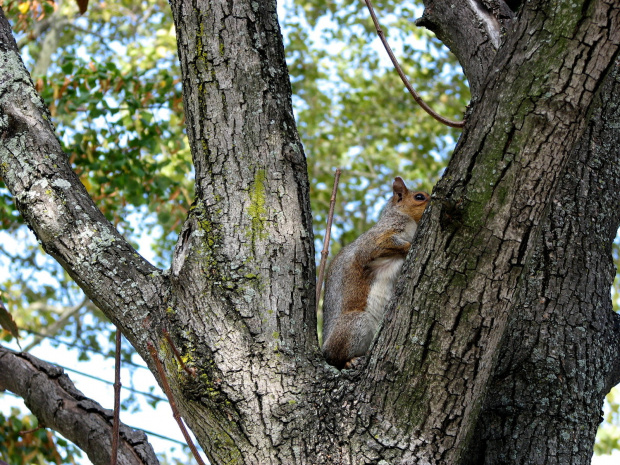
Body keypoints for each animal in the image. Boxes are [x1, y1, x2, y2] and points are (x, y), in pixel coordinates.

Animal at [322, 176, 428, 368]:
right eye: (419, 197)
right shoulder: (380, 236)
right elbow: (375, 248)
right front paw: (409, 245)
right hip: (354, 324)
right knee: (335, 358)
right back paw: (350, 360)